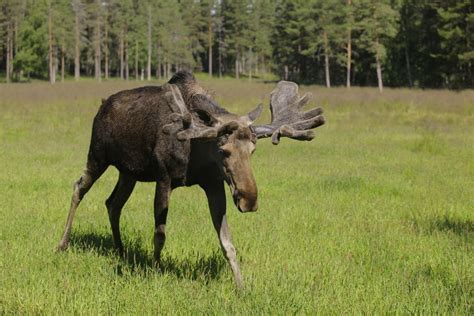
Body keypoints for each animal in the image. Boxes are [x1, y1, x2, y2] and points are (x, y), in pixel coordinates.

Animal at [57, 71, 324, 288]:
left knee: (113, 203)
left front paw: (241, 286)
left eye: (253, 150)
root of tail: (102, 107)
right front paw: (155, 270)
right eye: (223, 150)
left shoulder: (214, 184)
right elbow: (160, 234)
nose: (248, 200)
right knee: (79, 187)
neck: (197, 152)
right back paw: (63, 243)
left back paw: (121, 250)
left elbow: (227, 243)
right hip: (98, 155)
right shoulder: (164, 177)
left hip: (128, 172)